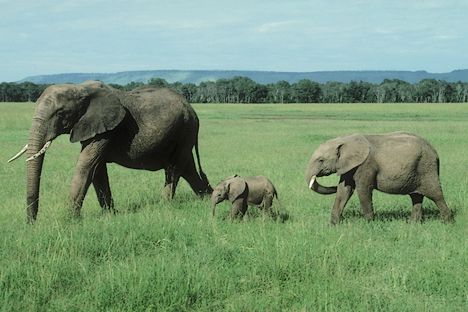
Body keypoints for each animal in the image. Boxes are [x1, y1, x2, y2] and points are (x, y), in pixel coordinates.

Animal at [8, 80, 212, 222]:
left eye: (60, 114)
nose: (31, 224)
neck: (80, 89)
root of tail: (193, 110)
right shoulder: (96, 127)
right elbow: (97, 170)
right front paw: (110, 215)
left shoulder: (107, 128)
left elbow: (86, 166)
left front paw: (68, 220)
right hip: (183, 133)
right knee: (187, 169)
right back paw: (208, 197)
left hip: (185, 129)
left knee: (174, 169)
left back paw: (165, 205)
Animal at [304, 132, 454, 224]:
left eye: (321, 160)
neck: (346, 140)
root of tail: (435, 151)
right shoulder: (349, 166)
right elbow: (344, 190)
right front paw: (333, 225)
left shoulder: (365, 165)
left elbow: (363, 190)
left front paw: (369, 224)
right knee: (416, 197)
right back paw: (413, 224)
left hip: (427, 168)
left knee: (436, 195)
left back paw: (448, 222)